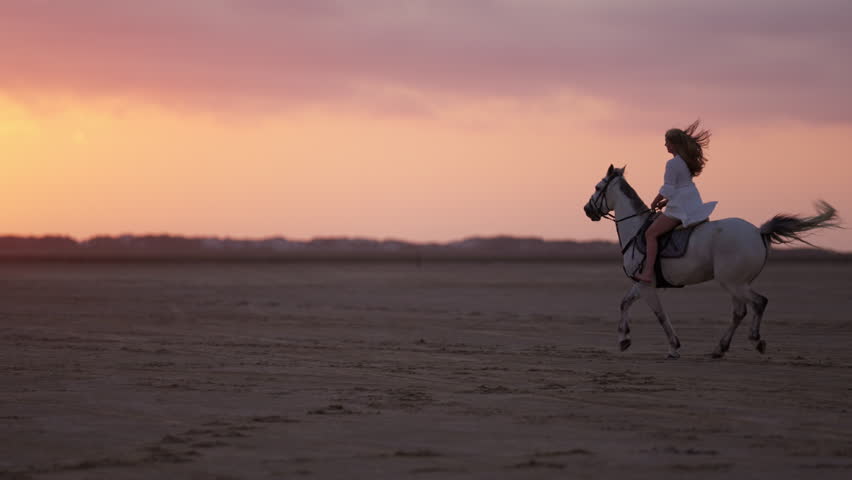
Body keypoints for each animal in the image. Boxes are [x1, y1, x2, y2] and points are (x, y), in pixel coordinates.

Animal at [583, 164, 839, 359]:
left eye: (597, 187)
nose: (587, 210)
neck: (637, 229)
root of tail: (758, 231)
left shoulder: (646, 285)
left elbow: (660, 315)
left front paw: (673, 348)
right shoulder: (641, 284)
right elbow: (624, 303)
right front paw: (623, 340)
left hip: (733, 283)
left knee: (758, 303)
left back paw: (755, 341)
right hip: (737, 283)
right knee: (740, 312)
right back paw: (720, 348)